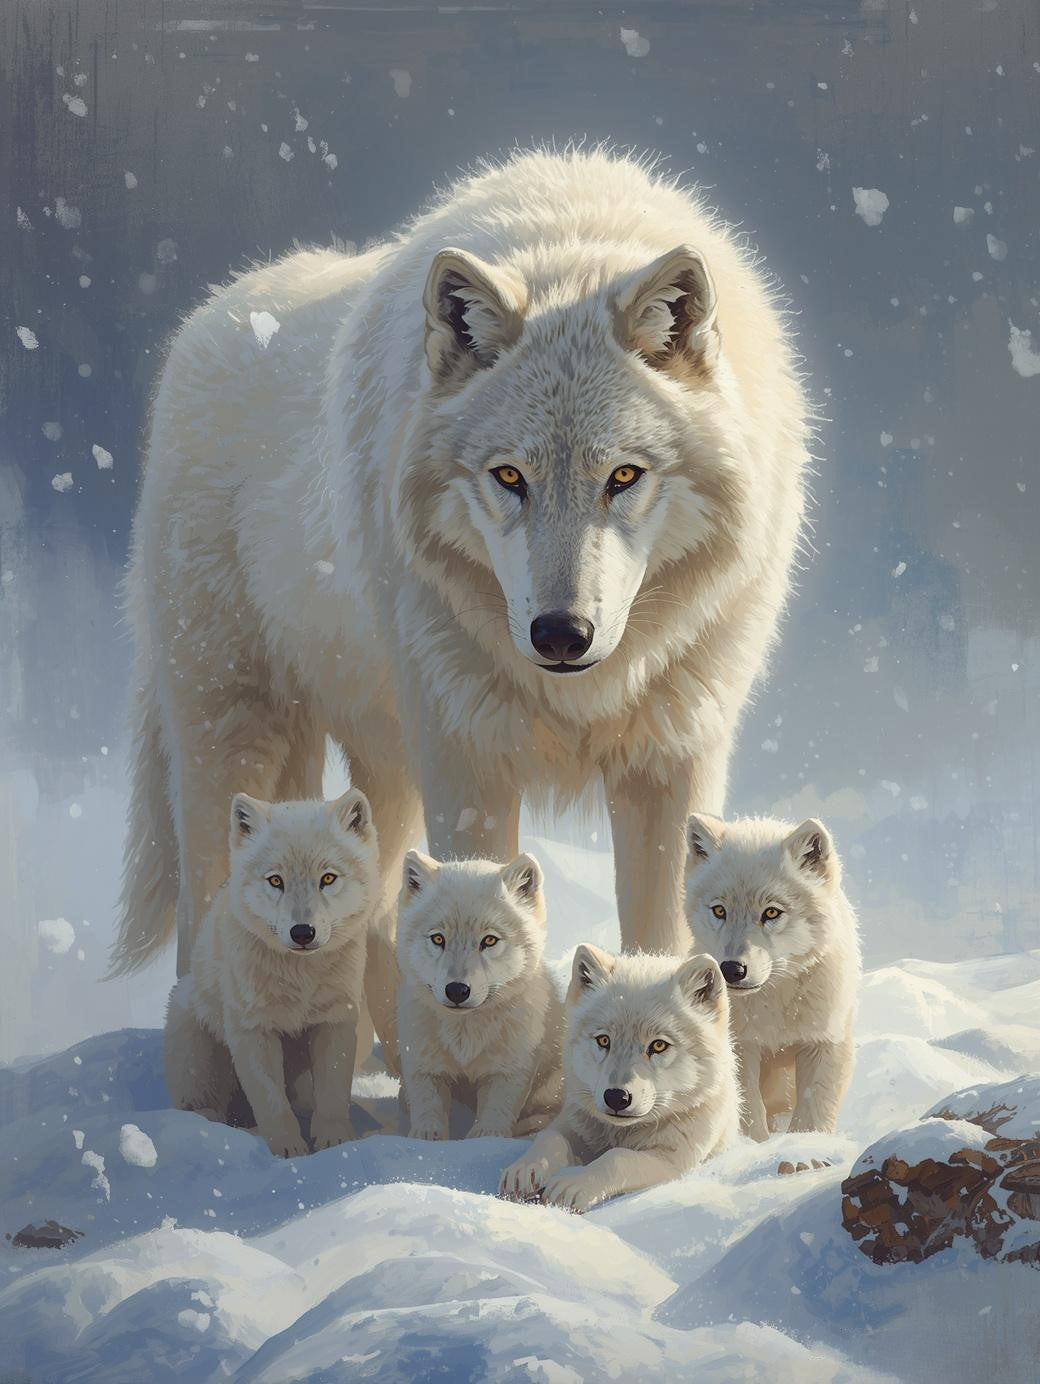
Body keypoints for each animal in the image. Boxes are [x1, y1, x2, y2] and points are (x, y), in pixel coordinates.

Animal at [110, 147, 810, 1062]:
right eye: (509, 476)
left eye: (623, 476)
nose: (560, 633)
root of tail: (208, 317)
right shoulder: (469, 759)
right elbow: (474, 907)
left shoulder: (674, 758)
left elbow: (660, 937)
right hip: (233, 736)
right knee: (206, 923)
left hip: (371, 769)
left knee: (369, 922)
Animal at [163, 789, 379, 1157]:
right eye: (276, 880)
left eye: (328, 878)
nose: (303, 932)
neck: (301, 977)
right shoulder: (253, 1030)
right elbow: (271, 1101)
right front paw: (288, 1151)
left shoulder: (335, 1022)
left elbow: (333, 1094)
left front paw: (335, 1143)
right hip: (191, 1032)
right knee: (203, 1106)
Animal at [395, 850, 563, 1139]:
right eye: (438, 939)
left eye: (490, 940)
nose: (457, 990)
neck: (465, 1036)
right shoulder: (423, 1066)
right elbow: (427, 1111)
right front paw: (425, 1140)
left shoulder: (509, 1071)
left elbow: (495, 1117)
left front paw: (485, 1140)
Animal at [500, 944, 738, 1212]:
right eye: (604, 1040)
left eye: (658, 1045)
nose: (616, 1097)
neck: (622, 1133)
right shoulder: (571, 1123)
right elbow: (550, 1137)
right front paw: (526, 1169)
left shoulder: (674, 1163)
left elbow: (618, 1157)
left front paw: (573, 1185)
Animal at [683, 813, 861, 1139]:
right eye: (719, 910)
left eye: (771, 913)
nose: (732, 969)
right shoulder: (743, 1048)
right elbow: (750, 1115)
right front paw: (756, 1147)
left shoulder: (824, 1042)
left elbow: (812, 1115)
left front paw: (805, 1149)